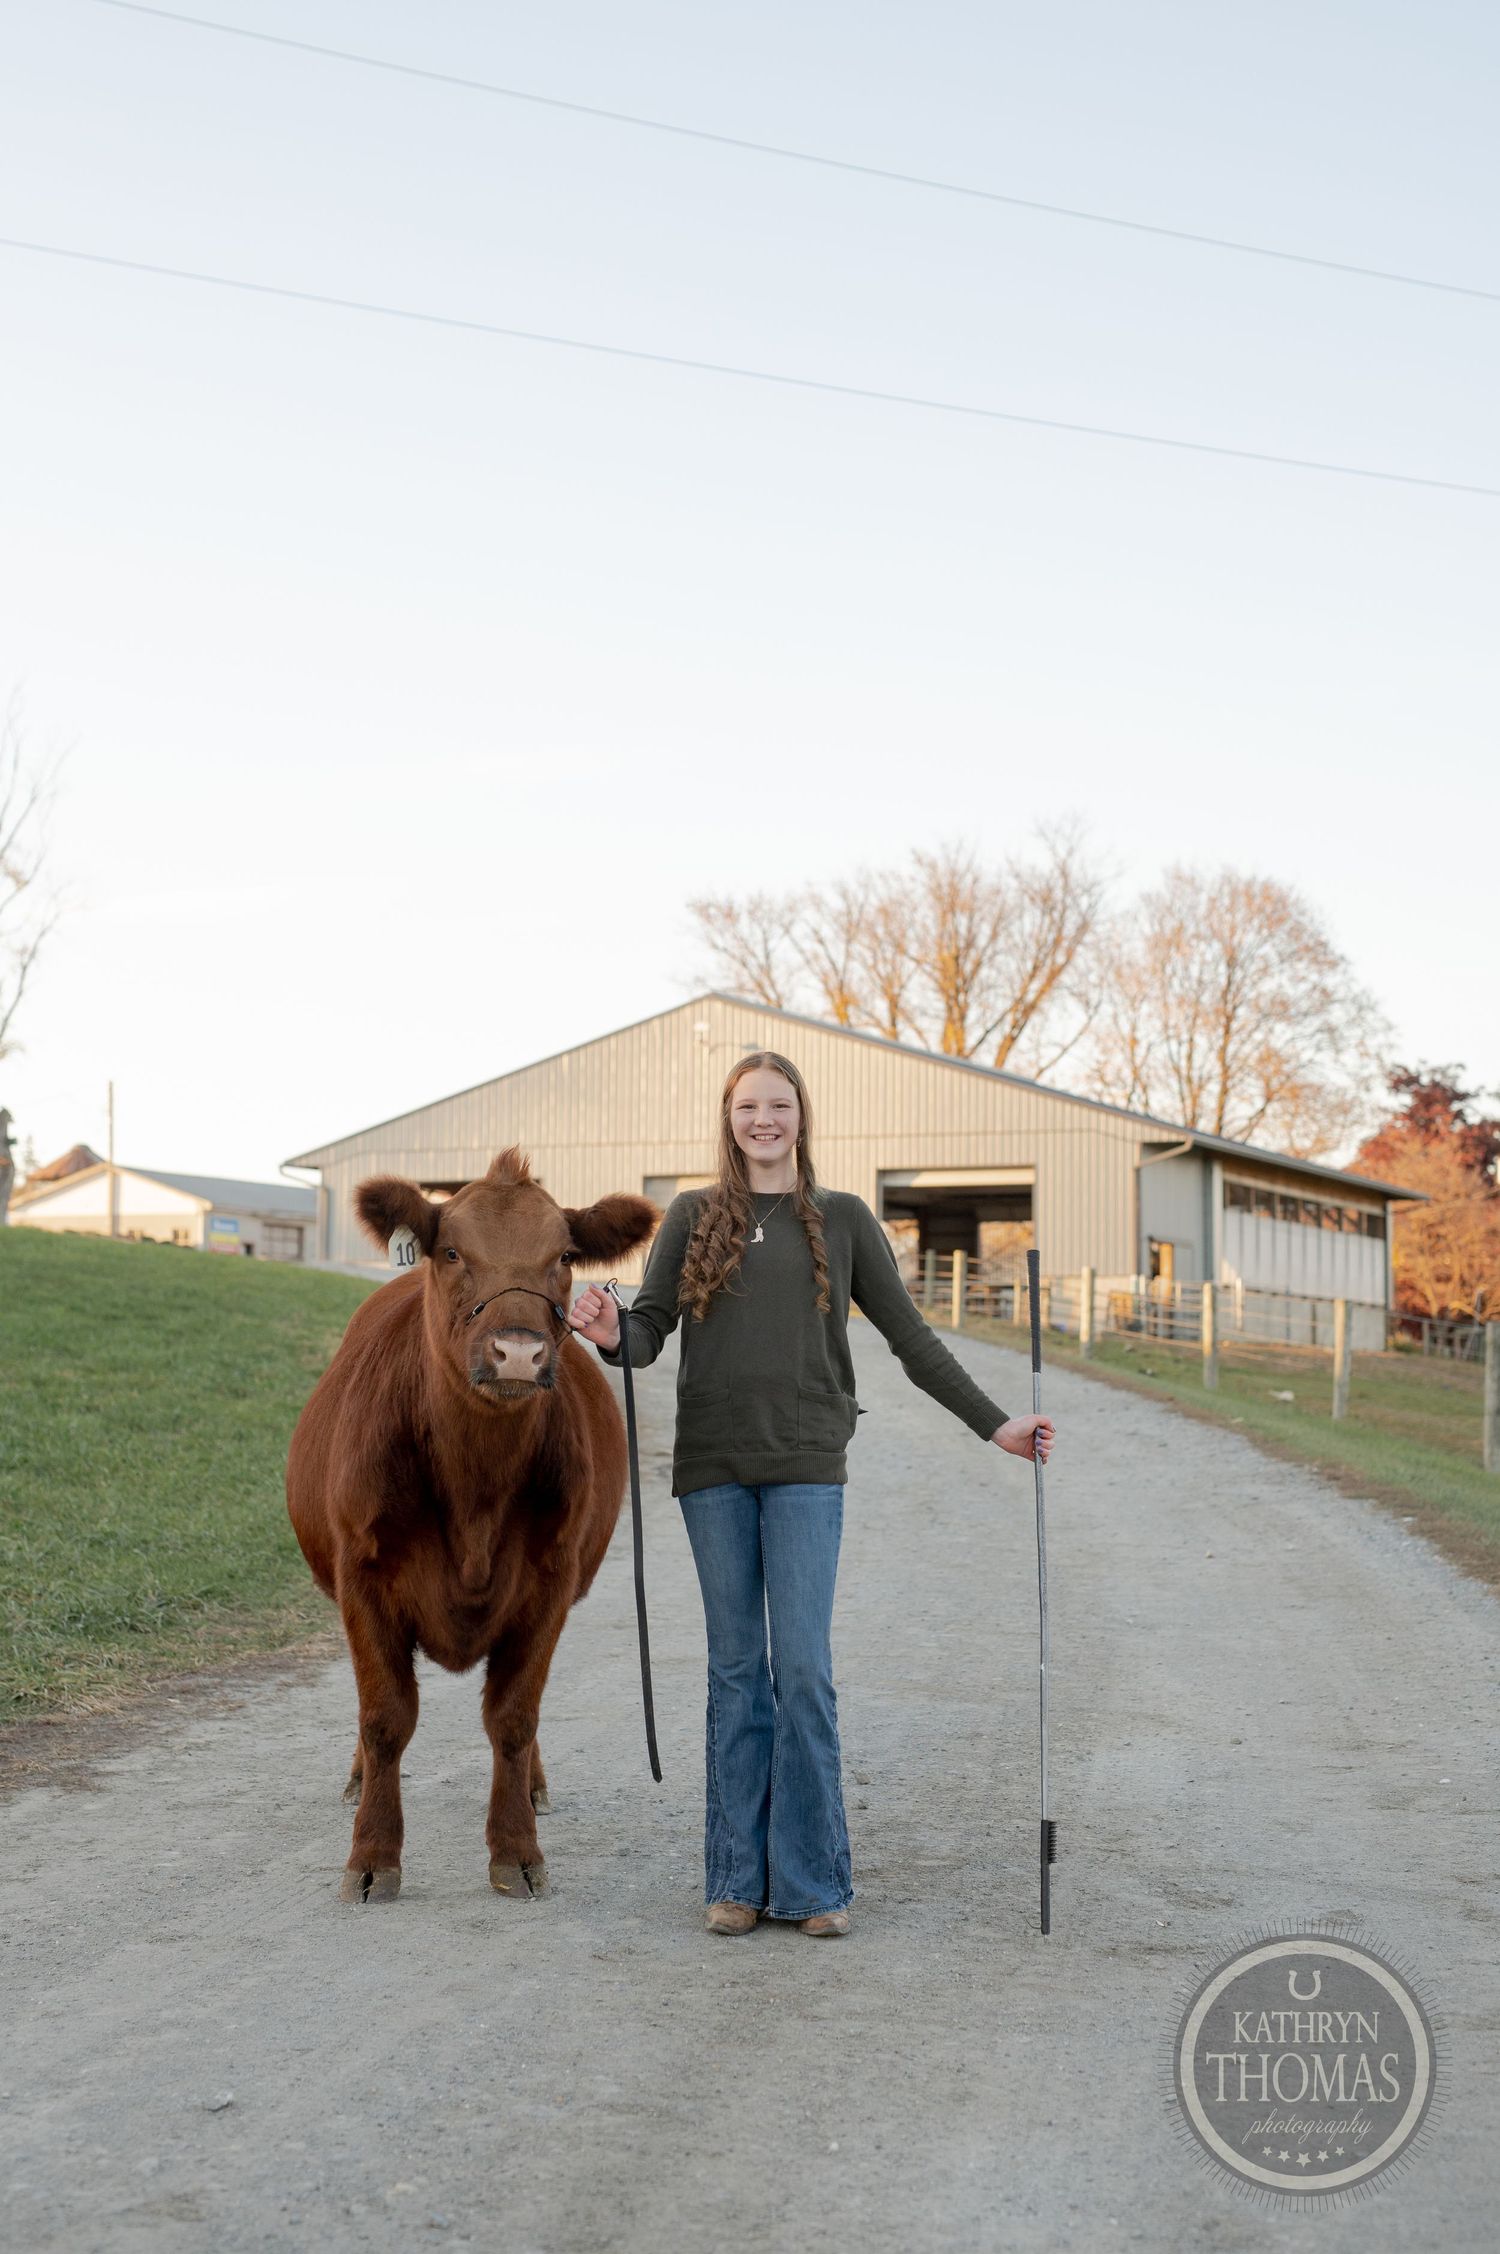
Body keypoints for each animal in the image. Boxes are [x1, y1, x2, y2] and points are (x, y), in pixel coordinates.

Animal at [286, 1147, 659, 1905]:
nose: (518, 1351)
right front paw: (372, 1854)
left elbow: (514, 1717)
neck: (473, 1494)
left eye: (565, 1255)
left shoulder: (550, 1584)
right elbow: (385, 1718)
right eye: (452, 1250)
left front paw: (516, 1848)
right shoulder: (361, 1579)